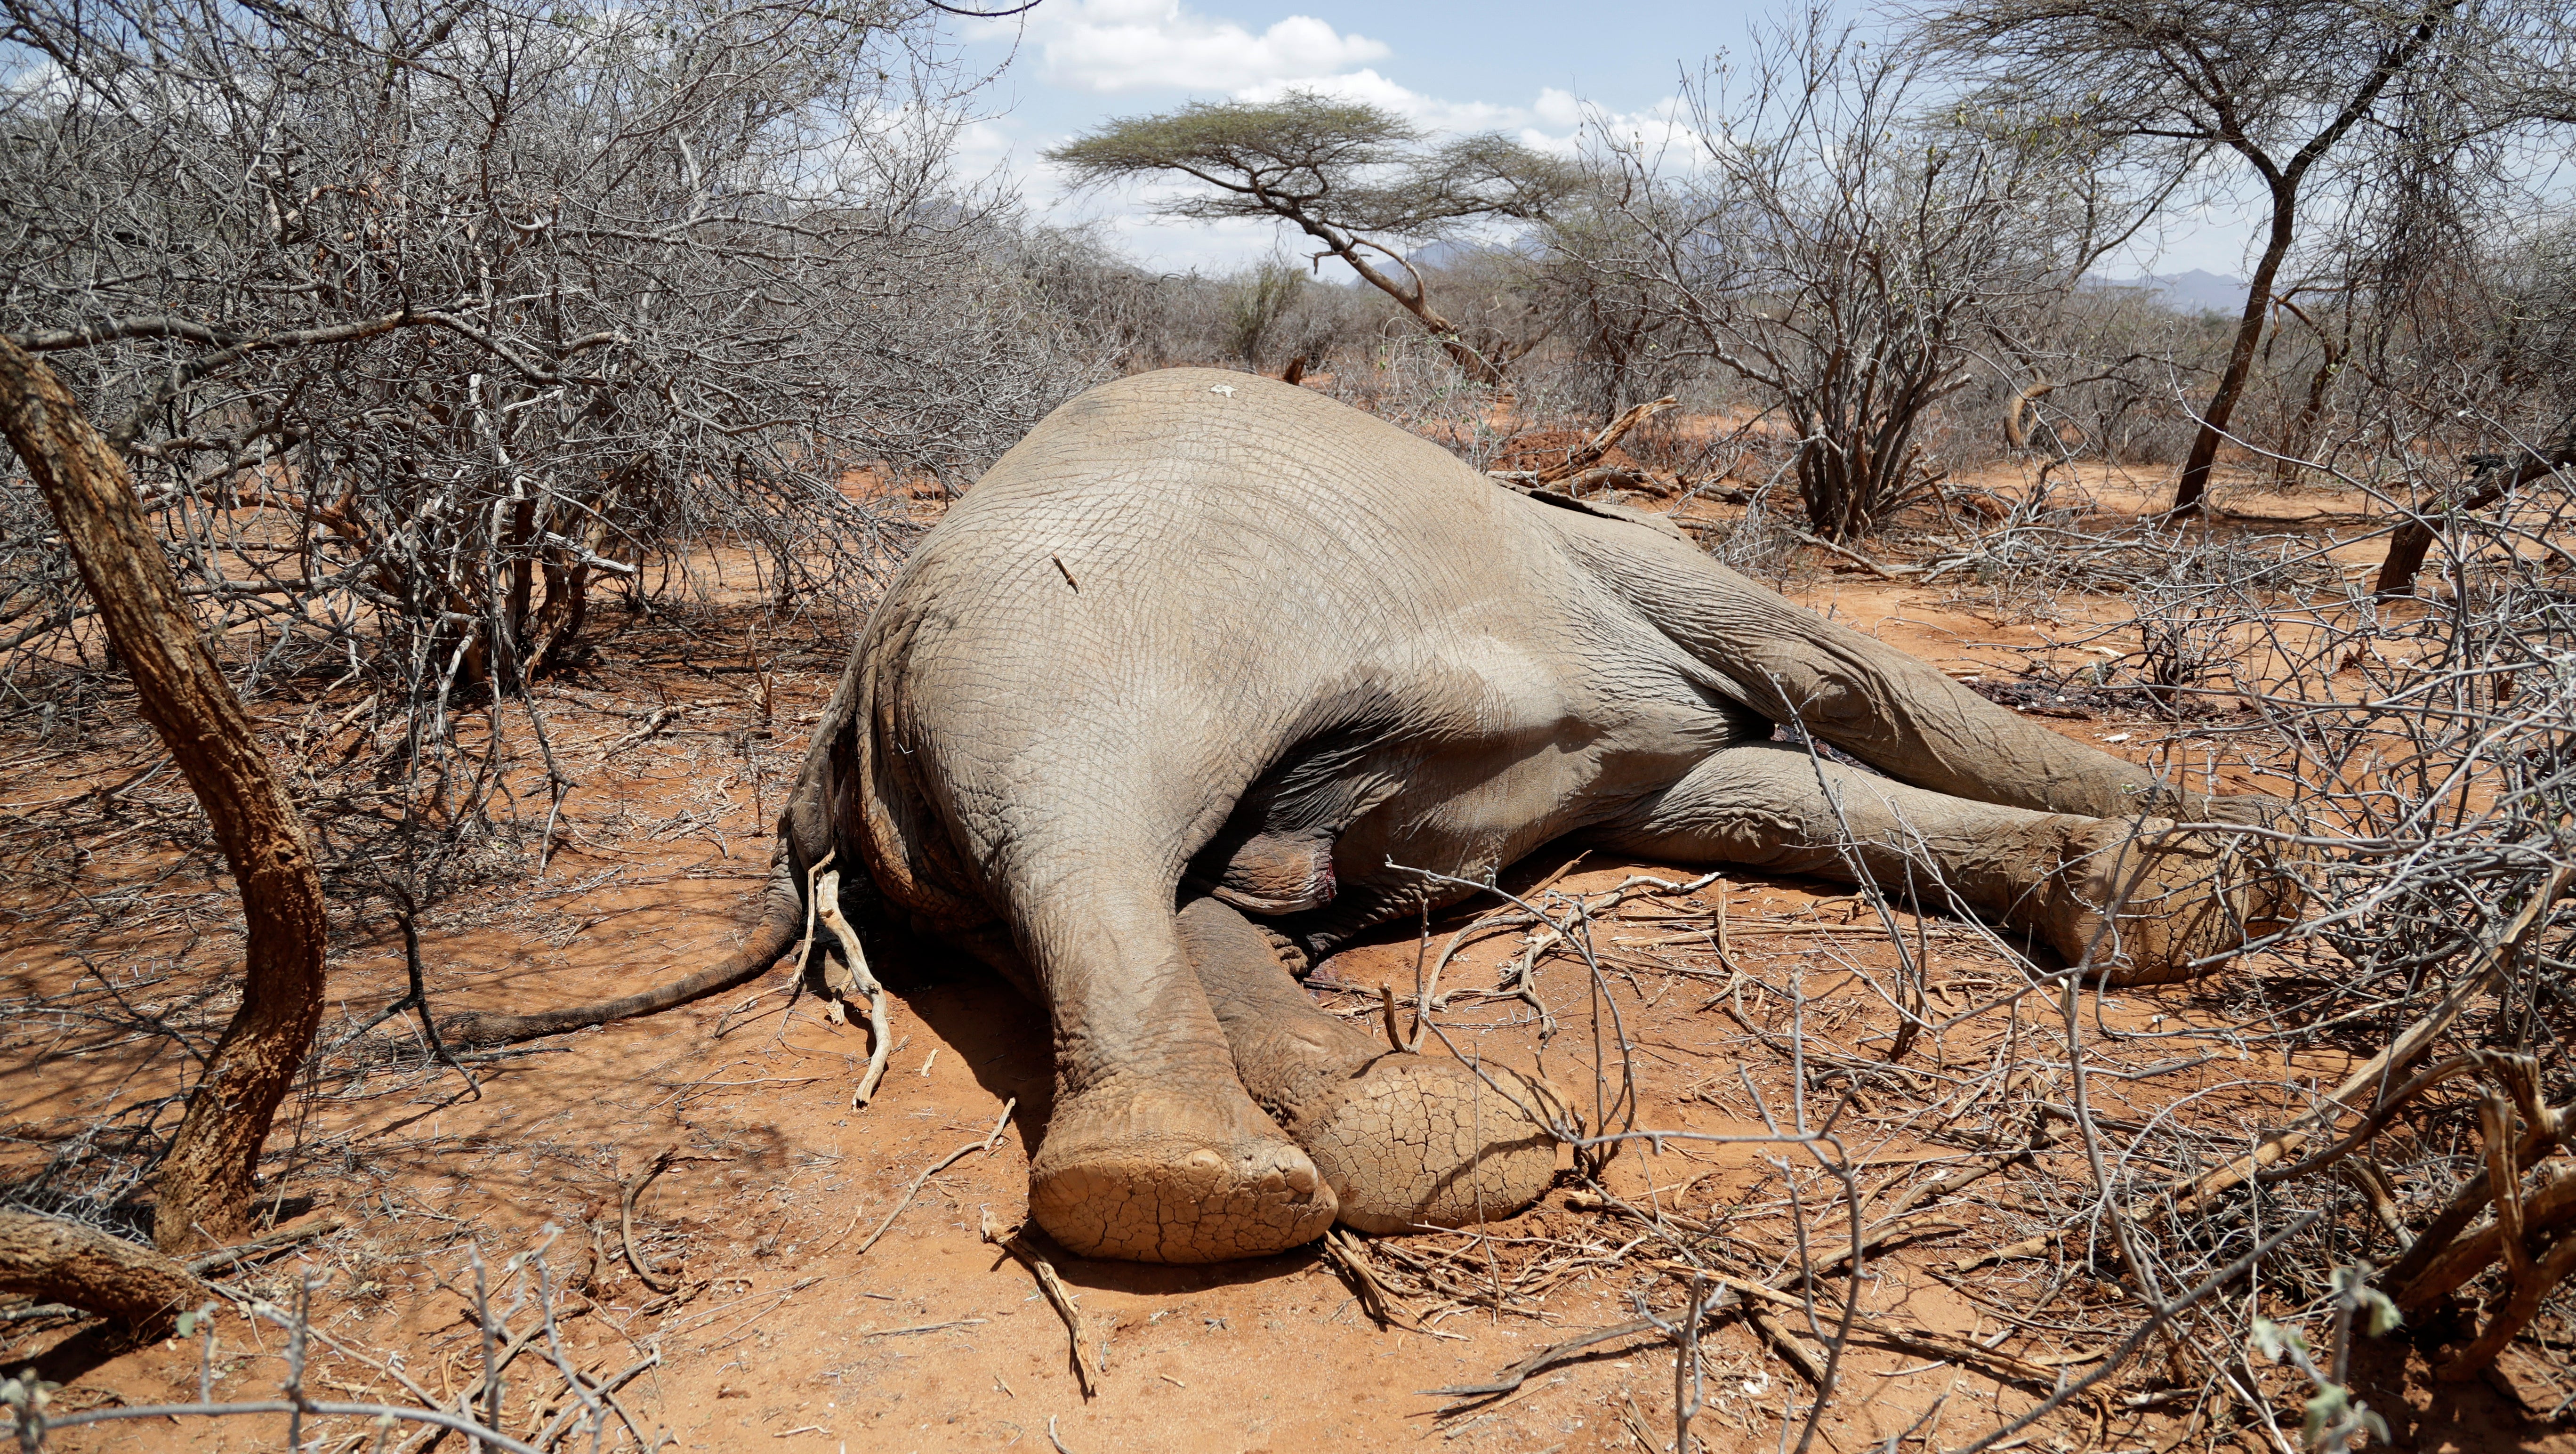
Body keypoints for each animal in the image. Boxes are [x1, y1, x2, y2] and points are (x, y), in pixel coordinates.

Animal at [445, 368, 2296, 1264]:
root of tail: (833, 708)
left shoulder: (1632, 715)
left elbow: (1766, 792)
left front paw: (2169, 885)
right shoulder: (1632, 572)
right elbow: (1831, 677)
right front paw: (2216, 862)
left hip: (968, 761)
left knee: (1159, 896)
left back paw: (1411, 1139)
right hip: (1058, 634)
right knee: (1092, 831)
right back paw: (1204, 1185)